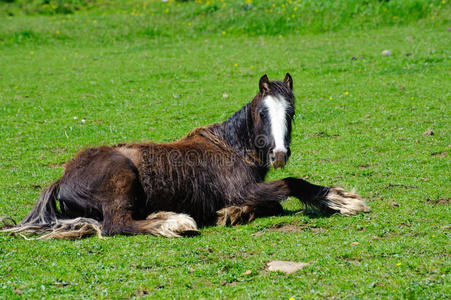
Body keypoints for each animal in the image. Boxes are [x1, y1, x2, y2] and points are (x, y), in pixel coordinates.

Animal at [0, 74, 370, 239]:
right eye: (263, 112)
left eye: (290, 112)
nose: (279, 154)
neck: (230, 147)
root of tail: (63, 178)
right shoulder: (245, 188)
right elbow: (291, 185)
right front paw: (343, 200)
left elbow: (274, 203)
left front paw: (233, 213)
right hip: (121, 179)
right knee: (117, 224)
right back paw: (174, 221)